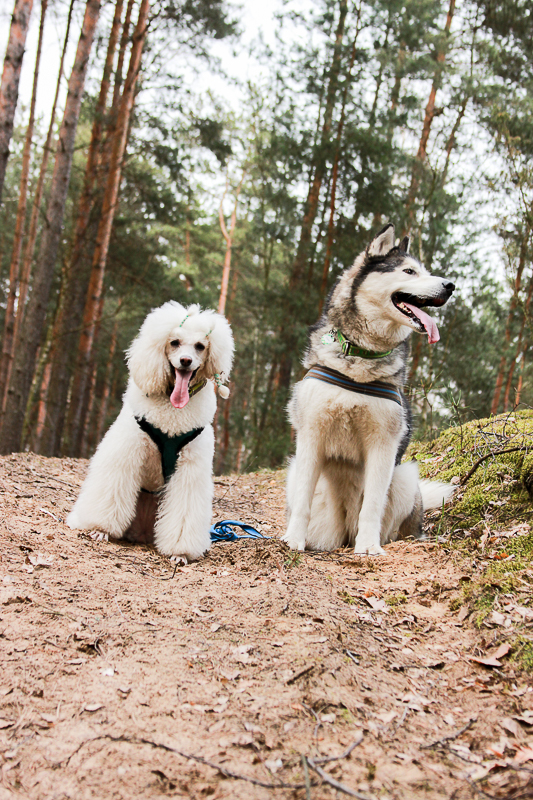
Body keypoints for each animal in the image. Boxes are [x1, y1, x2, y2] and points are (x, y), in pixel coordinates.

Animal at [67, 301, 234, 562]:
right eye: (174, 342)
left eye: (200, 346)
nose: (186, 361)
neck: (172, 410)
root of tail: (143, 533)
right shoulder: (127, 450)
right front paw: (101, 529)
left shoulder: (190, 468)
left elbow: (185, 508)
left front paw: (180, 553)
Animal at [282, 223, 455, 555]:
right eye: (409, 271)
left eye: (425, 271)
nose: (450, 285)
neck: (360, 356)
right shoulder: (311, 436)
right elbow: (303, 500)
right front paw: (293, 539)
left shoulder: (383, 445)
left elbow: (372, 505)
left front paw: (368, 547)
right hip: (298, 475)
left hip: (404, 476)